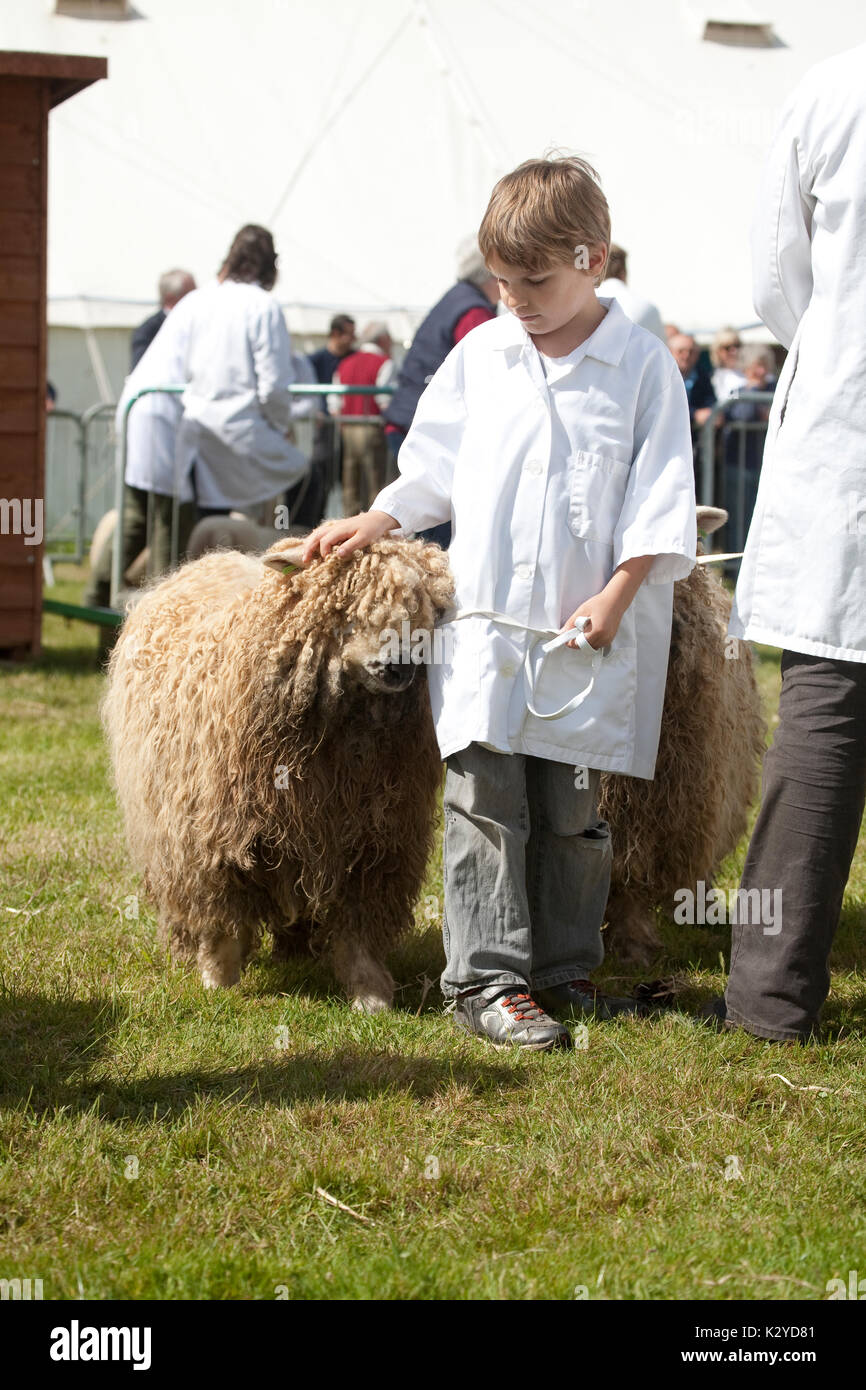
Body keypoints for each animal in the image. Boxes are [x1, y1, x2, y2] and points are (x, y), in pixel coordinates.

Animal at [101, 533, 453, 1011]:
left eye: (426, 614)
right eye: (349, 605)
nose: (400, 664)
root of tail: (211, 560)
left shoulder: (377, 836)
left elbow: (359, 924)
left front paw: (370, 994)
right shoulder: (217, 830)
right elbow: (223, 912)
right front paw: (219, 978)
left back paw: (296, 947)